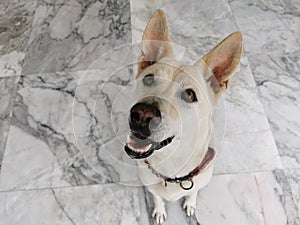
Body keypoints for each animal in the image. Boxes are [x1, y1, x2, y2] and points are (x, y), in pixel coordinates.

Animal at [123, 9, 243, 224]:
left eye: (189, 94)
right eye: (149, 79)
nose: (142, 115)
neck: (170, 165)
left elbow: (193, 192)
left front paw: (190, 204)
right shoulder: (151, 186)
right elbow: (158, 198)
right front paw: (160, 210)